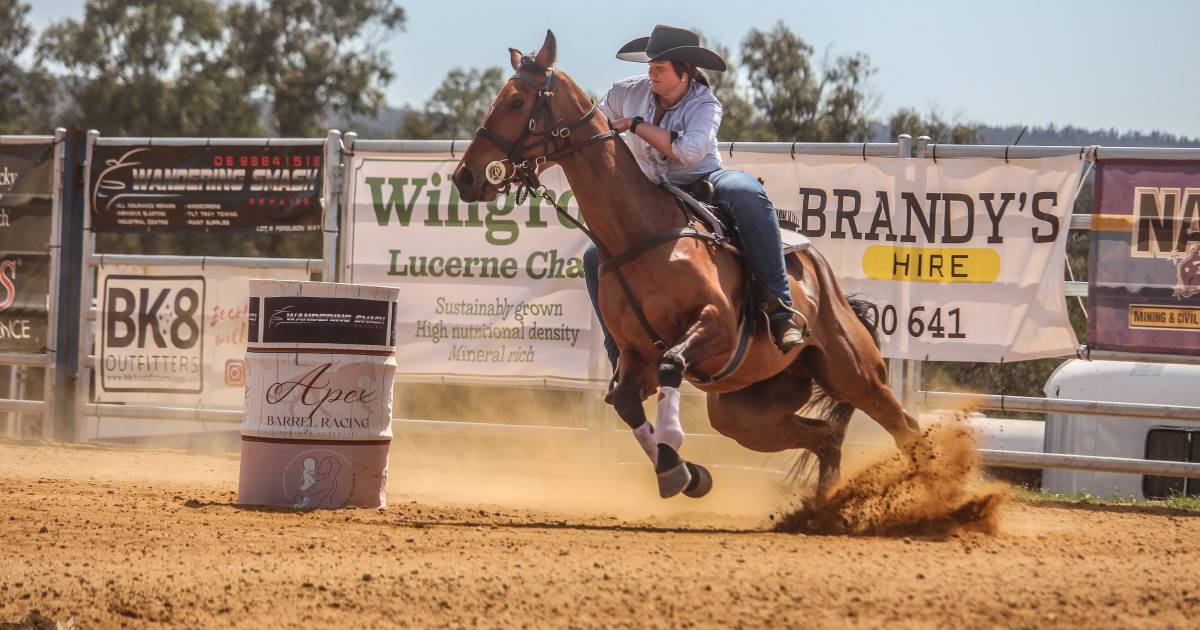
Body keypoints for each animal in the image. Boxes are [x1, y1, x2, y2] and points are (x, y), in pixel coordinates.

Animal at [451, 29, 916, 501]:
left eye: (516, 102)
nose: (465, 177)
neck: (640, 232)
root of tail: (825, 280)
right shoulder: (636, 356)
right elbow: (626, 401)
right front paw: (684, 472)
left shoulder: (714, 327)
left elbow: (673, 365)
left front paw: (675, 457)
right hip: (746, 413)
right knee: (826, 437)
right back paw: (822, 506)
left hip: (853, 371)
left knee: (906, 428)